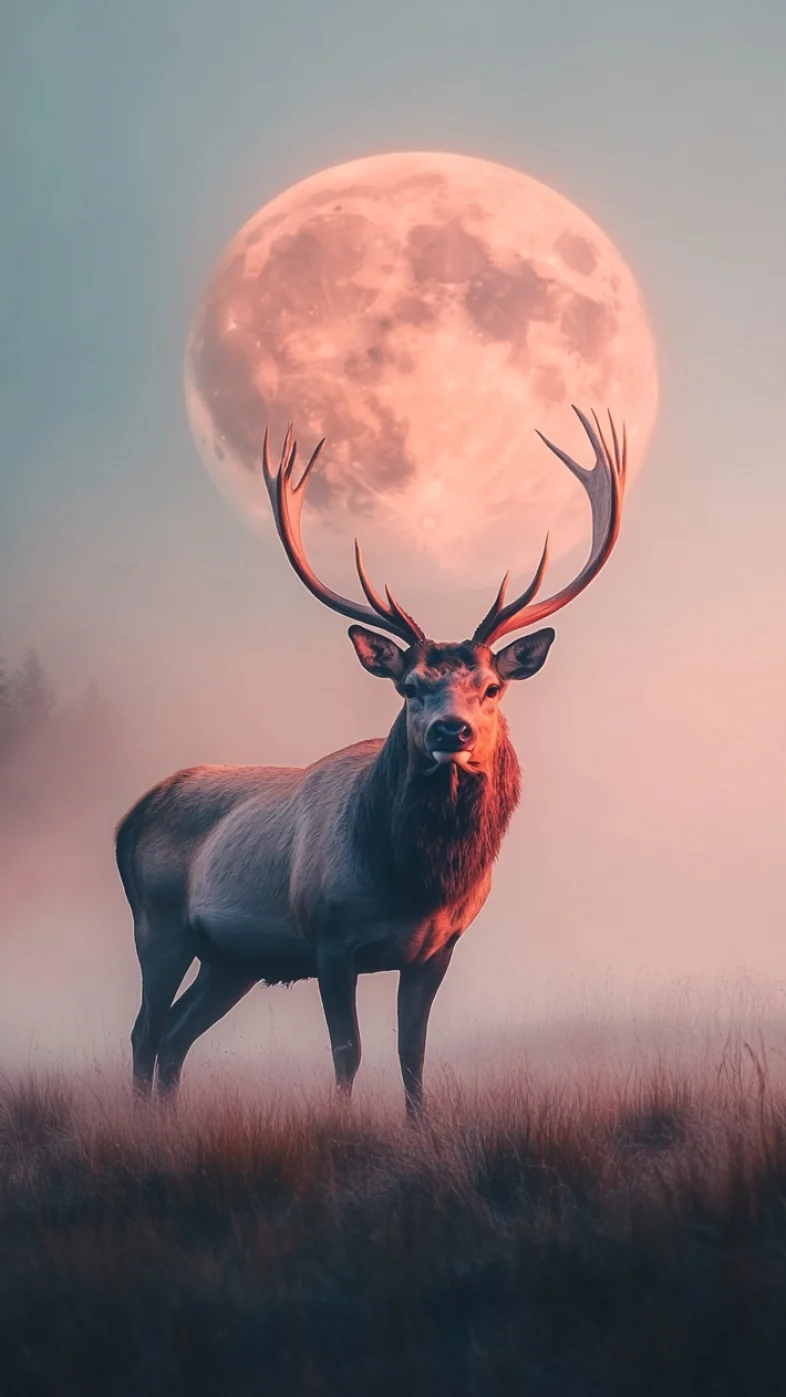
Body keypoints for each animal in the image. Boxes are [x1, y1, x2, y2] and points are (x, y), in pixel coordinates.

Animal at [116, 406, 626, 1113]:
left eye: (491, 687)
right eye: (408, 686)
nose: (450, 731)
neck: (413, 880)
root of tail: (130, 817)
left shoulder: (438, 949)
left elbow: (412, 1055)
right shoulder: (328, 938)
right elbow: (347, 1052)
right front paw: (338, 1123)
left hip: (232, 959)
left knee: (174, 1037)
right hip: (157, 922)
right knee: (144, 1032)